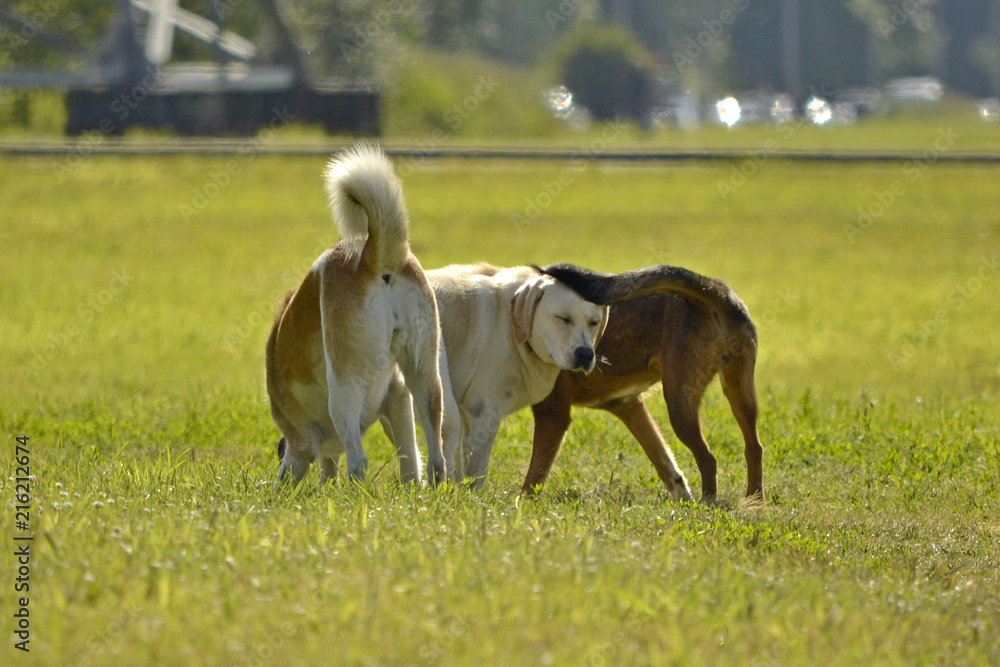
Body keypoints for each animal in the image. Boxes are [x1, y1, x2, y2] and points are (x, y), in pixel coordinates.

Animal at [266, 144, 446, 488]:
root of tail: (371, 257)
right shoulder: (398, 395)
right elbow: (410, 462)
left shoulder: (302, 435)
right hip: (423, 373)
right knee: (436, 457)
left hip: (343, 391)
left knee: (358, 462)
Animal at [520, 264, 760, 500]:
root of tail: (711, 287)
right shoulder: (628, 405)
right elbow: (668, 467)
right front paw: (682, 499)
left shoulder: (553, 414)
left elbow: (532, 480)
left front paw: (523, 508)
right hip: (740, 395)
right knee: (754, 448)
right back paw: (754, 501)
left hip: (679, 406)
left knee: (709, 458)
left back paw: (708, 504)